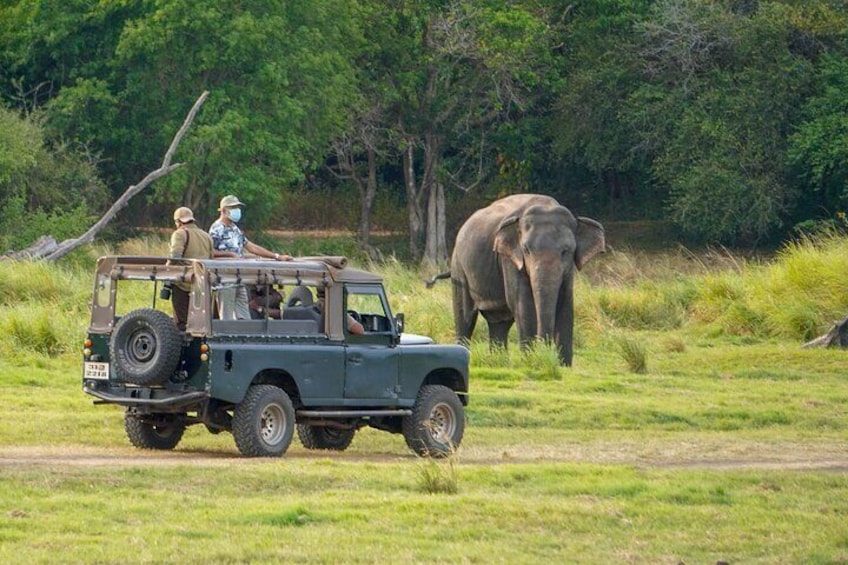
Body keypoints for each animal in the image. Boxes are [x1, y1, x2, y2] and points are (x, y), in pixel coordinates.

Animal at [430, 193, 604, 366]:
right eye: (526, 250)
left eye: (565, 251)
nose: (545, 353)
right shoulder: (510, 260)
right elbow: (523, 304)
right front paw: (531, 360)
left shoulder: (568, 271)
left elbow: (566, 303)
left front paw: (564, 366)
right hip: (459, 267)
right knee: (465, 317)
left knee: (499, 322)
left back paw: (499, 361)